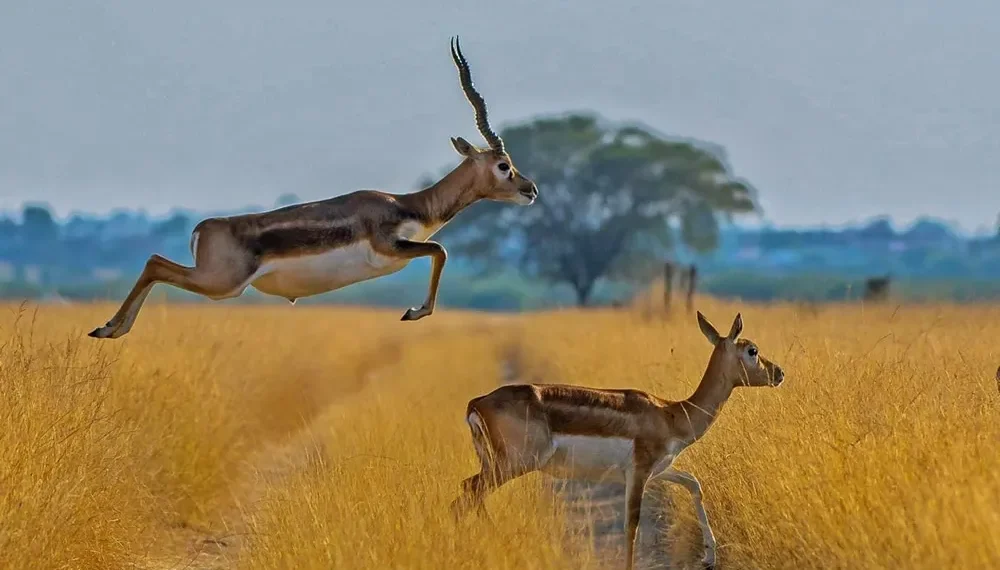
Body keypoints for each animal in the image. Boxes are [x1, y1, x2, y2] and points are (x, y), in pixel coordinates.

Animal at [87, 37, 537, 339]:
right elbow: (440, 250)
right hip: (222, 284)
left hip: (218, 284)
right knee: (154, 261)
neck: (410, 205)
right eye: (504, 165)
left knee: (154, 262)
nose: (531, 189)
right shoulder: (393, 246)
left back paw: (111, 328)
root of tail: (203, 228)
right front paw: (413, 312)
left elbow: (438, 250)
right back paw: (108, 328)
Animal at [450, 312, 785, 570]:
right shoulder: (638, 472)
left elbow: (693, 483)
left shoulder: (659, 470)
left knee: (468, 494)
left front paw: (709, 558)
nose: (779, 372)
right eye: (752, 350)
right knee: (466, 495)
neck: (672, 413)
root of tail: (476, 404)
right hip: (511, 465)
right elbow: (631, 526)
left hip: (496, 464)